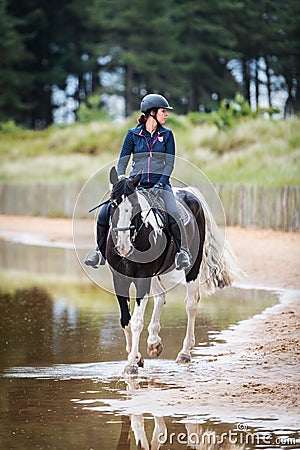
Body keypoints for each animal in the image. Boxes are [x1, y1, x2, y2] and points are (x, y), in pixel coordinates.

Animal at [105, 167, 239, 374]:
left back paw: (185, 353)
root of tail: (189, 193)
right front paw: (136, 357)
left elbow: (136, 321)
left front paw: (132, 364)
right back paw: (154, 343)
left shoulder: (143, 277)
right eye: (113, 204)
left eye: (135, 205)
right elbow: (125, 320)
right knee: (161, 296)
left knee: (191, 304)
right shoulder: (119, 279)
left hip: (191, 267)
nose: (123, 247)